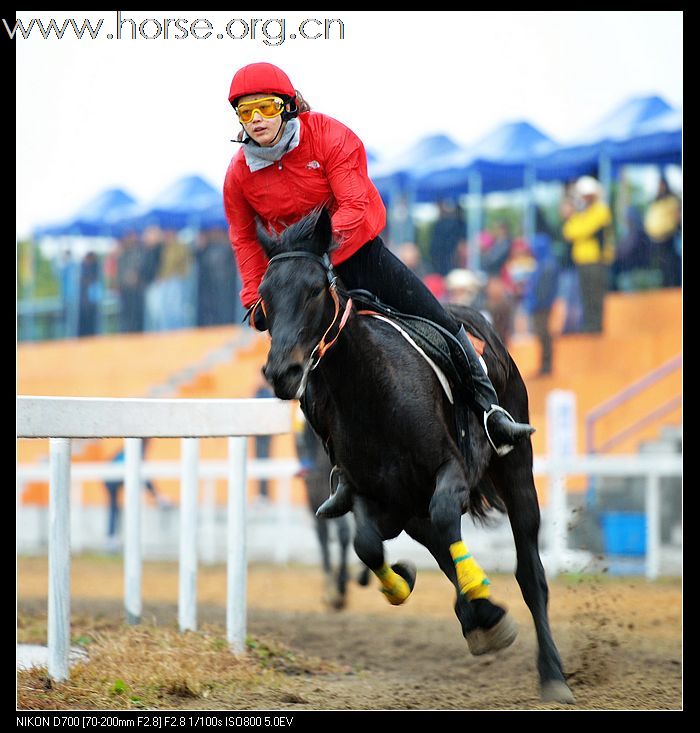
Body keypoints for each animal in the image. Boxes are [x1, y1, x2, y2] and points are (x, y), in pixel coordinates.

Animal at [258, 209, 576, 700]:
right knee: (437, 548)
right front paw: (404, 581)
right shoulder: (369, 493)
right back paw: (476, 613)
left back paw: (551, 672)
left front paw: (481, 608)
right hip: (408, 507)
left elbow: (445, 515)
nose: (282, 371)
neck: (372, 393)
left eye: (313, 289)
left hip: (516, 466)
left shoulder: (452, 470)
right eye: (264, 296)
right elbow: (366, 543)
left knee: (528, 571)